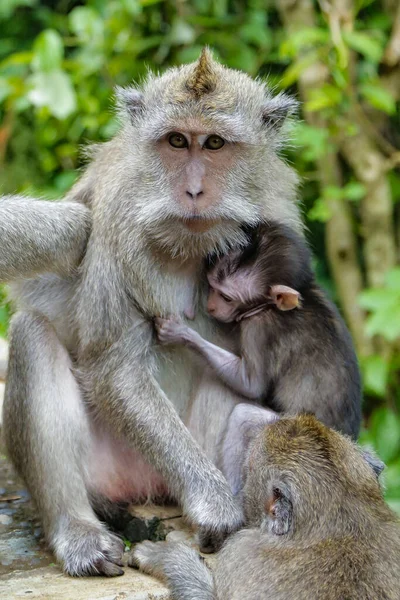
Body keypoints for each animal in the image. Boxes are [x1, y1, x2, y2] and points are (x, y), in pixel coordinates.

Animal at [0, 49, 300, 576]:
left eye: (215, 143)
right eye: (177, 141)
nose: (194, 191)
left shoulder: (276, 212)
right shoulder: (116, 224)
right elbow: (114, 368)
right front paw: (213, 503)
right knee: (32, 334)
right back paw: (76, 531)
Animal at [156, 223, 362, 438]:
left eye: (226, 298)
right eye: (212, 287)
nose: (210, 307)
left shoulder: (259, 326)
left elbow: (251, 384)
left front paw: (180, 333)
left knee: (245, 416)